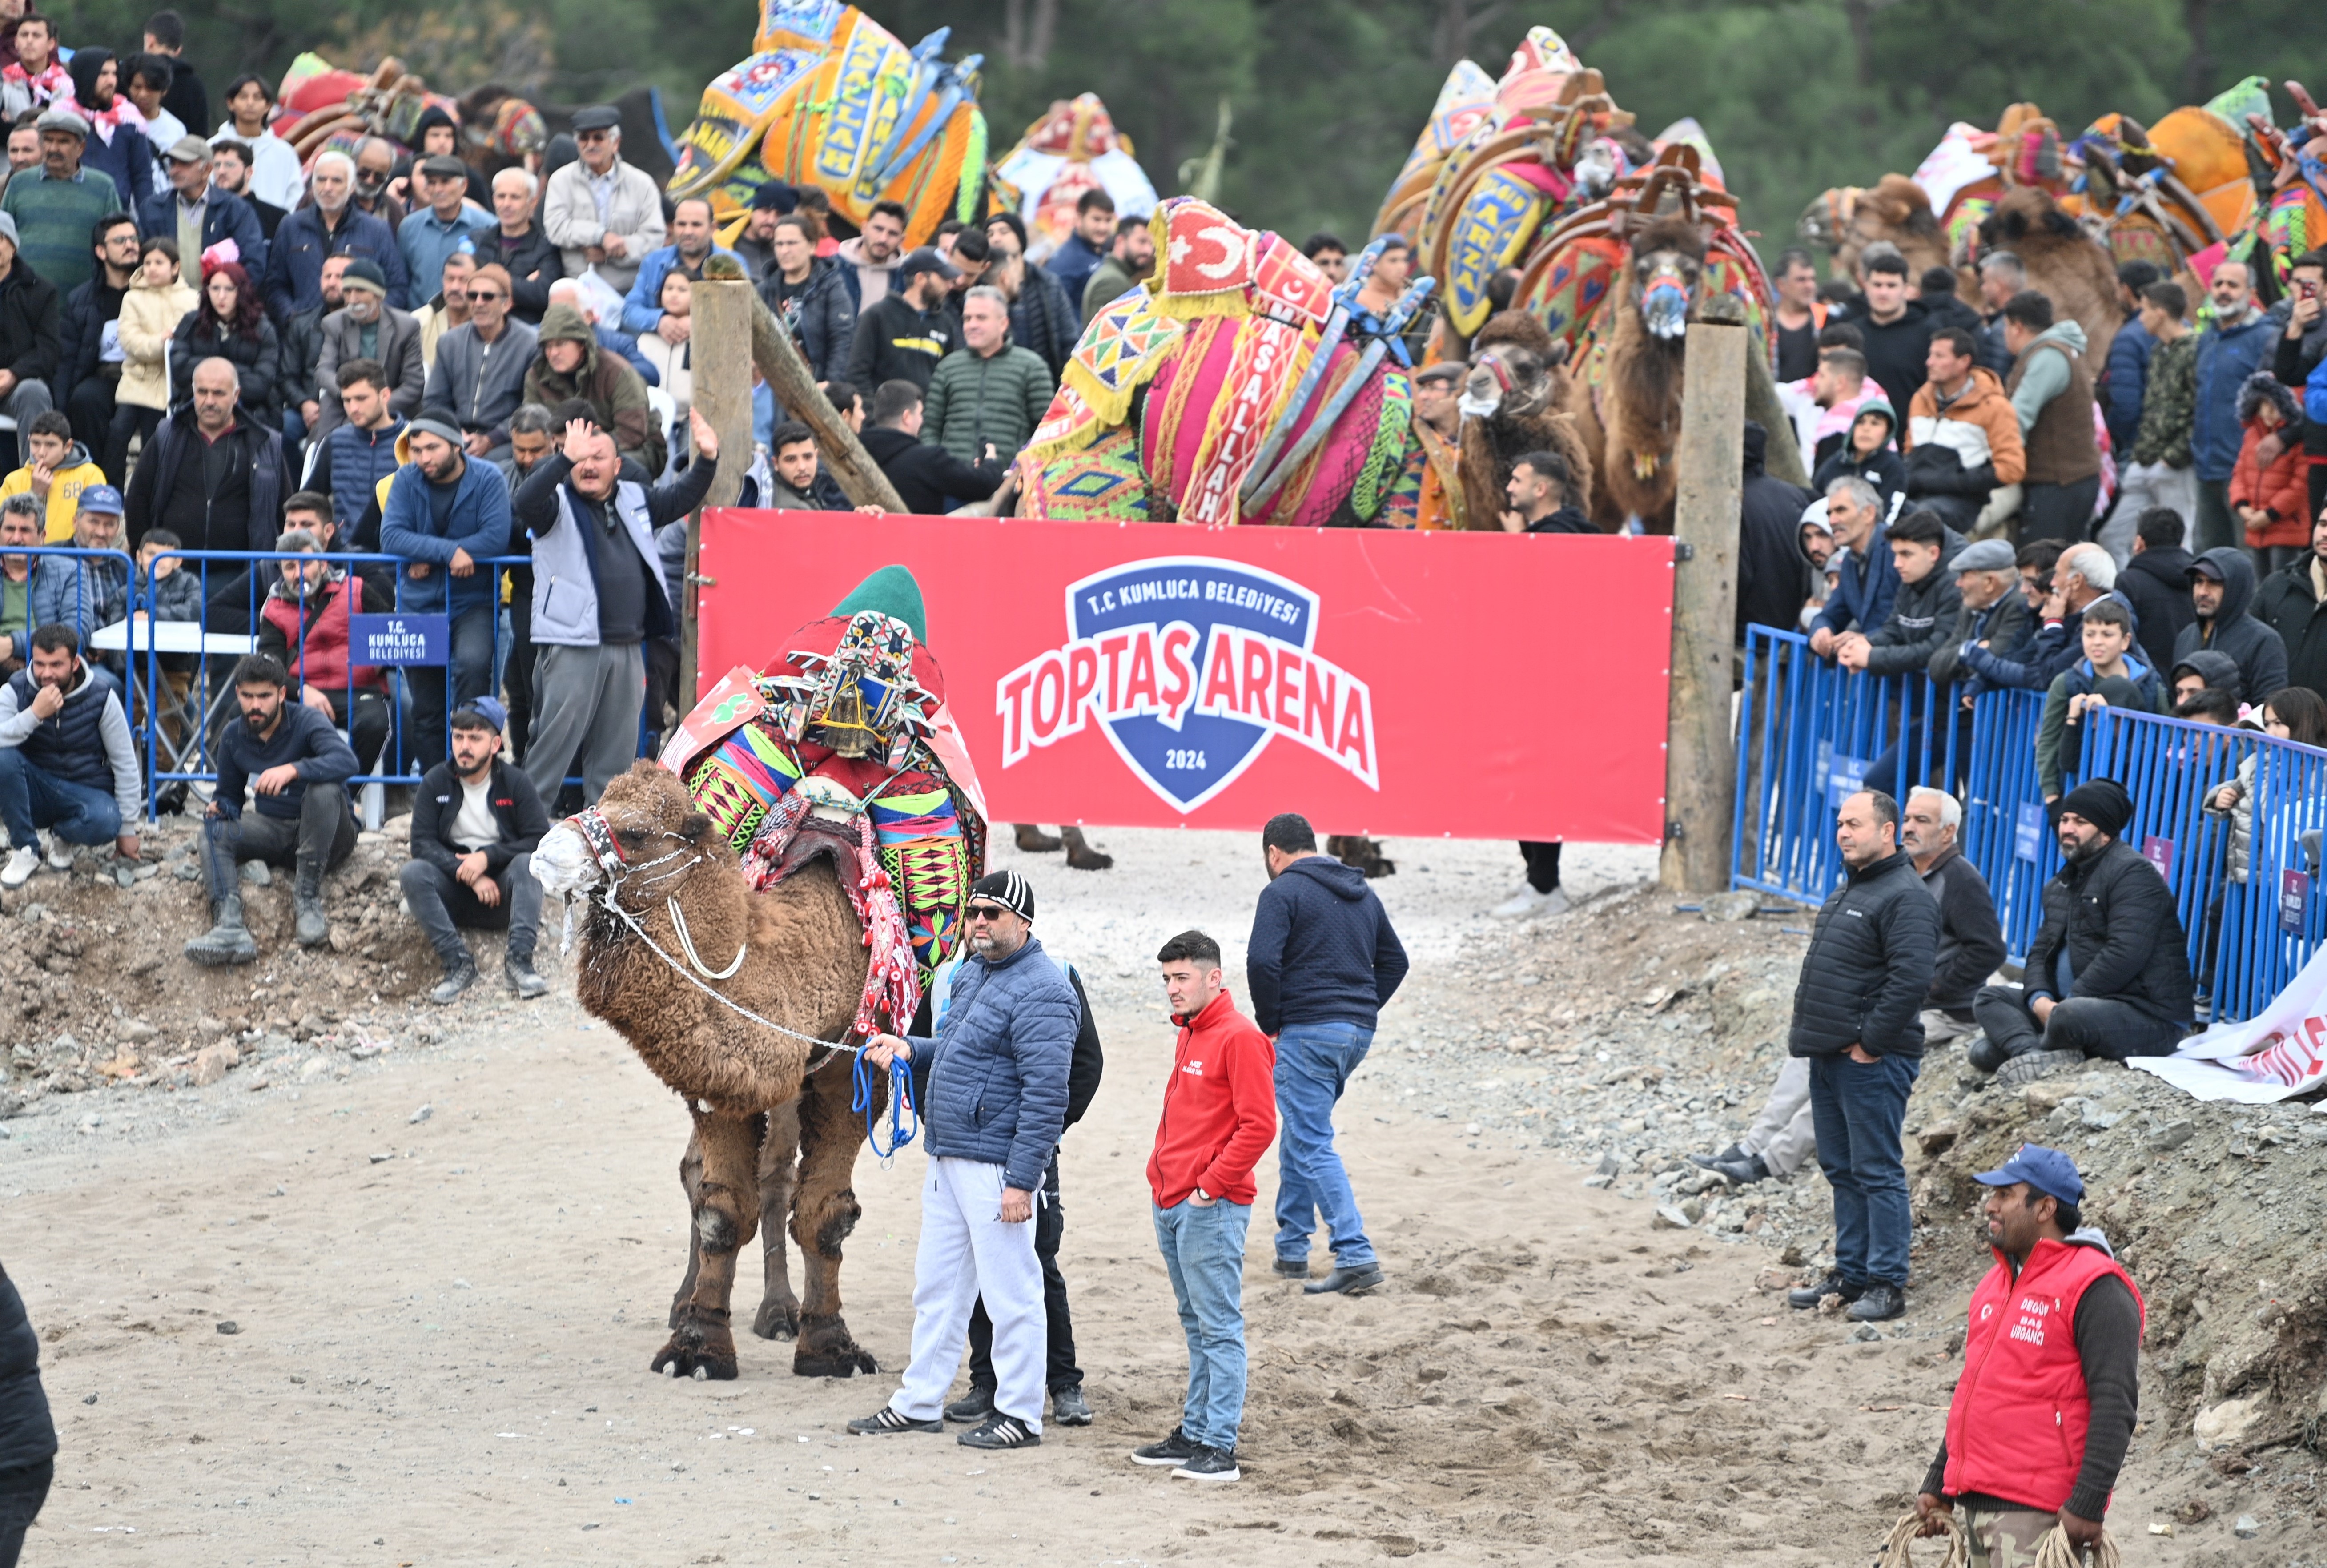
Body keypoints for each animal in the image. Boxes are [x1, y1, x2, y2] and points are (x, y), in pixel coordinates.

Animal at [533, 763, 884, 1377]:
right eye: (600, 799)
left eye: (637, 832)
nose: (543, 854)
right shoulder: (726, 1079)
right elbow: (720, 1209)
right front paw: (696, 1346)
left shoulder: (854, 1068)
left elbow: (824, 1212)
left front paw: (831, 1348)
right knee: (705, 1172)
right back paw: (690, 1300)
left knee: (775, 1175)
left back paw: (780, 1310)